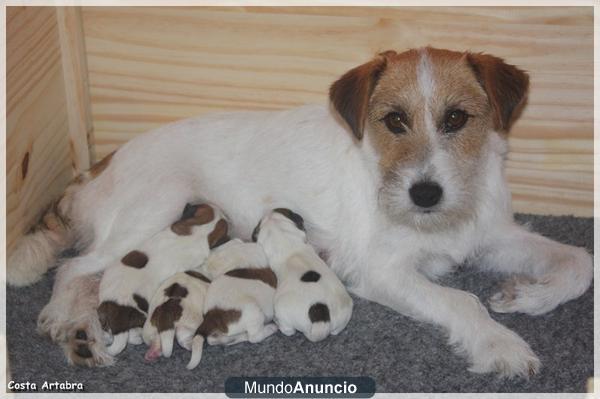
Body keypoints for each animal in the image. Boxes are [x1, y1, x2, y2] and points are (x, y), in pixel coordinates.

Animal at [186, 239, 278, 370]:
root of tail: (211, 316)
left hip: (220, 333)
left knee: (213, 340)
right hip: (254, 311)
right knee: (254, 337)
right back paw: (270, 328)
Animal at [252, 208, 352, 342]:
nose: (268, 211)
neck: (285, 239)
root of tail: (321, 322)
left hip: (282, 312)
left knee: (288, 330)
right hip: (343, 316)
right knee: (336, 331)